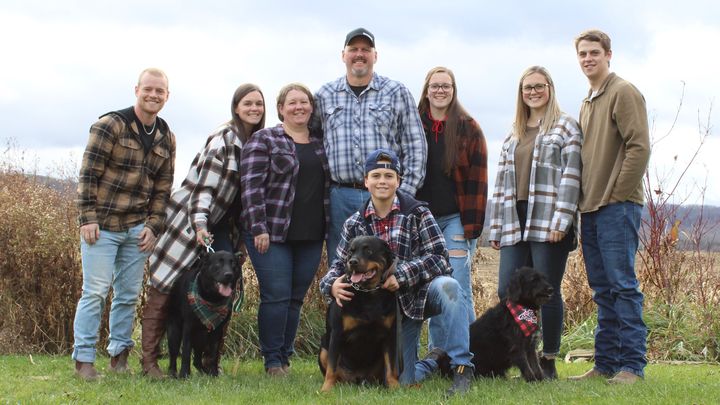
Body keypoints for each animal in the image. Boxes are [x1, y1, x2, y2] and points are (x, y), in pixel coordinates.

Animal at [166, 249, 243, 378]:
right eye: (218, 263)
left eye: (233, 264)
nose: (229, 275)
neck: (212, 298)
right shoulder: (188, 328)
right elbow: (186, 352)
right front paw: (184, 374)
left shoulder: (218, 330)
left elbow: (214, 354)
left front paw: (214, 373)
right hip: (174, 331)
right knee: (174, 354)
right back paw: (172, 373)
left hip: (201, 337)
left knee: (197, 360)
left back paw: (204, 373)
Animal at [318, 235, 399, 392]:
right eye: (351, 251)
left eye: (369, 250)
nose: (353, 262)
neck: (368, 293)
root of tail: (357, 379)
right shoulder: (337, 333)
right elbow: (332, 367)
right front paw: (326, 389)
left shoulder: (389, 334)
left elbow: (392, 367)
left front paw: (395, 387)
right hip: (324, 346)